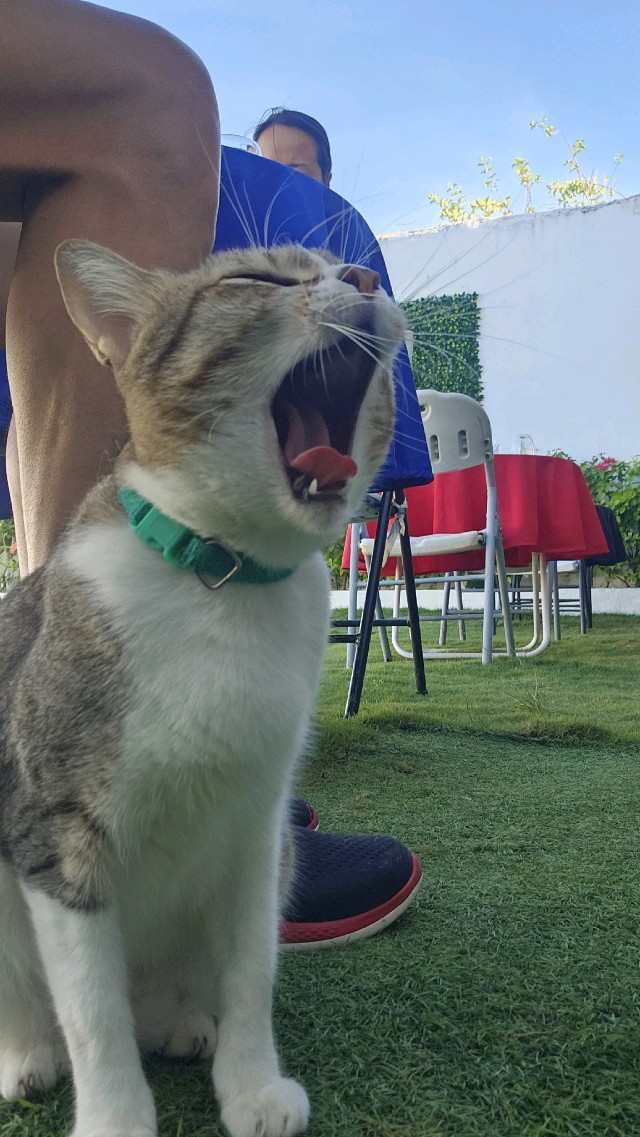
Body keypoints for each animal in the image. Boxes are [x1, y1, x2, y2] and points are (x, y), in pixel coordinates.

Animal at [0, 239, 404, 1137]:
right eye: (257, 280)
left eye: (345, 268)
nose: (365, 278)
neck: (223, 578)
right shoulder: (56, 826)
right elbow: (93, 1011)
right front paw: (116, 1120)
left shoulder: (258, 827)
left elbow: (252, 970)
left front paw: (251, 1087)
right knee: (39, 1003)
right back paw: (27, 1053)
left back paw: (184, 1021)